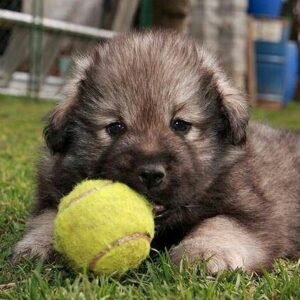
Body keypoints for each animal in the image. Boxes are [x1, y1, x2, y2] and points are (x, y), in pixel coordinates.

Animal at [12, 31, 300, 274]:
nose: (150, 173)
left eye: (180, 124)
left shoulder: (252, 213)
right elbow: (49, 217)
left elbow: (219, 224)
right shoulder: (52, 188)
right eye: (115, 127)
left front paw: (203, 253)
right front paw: (38, 246)